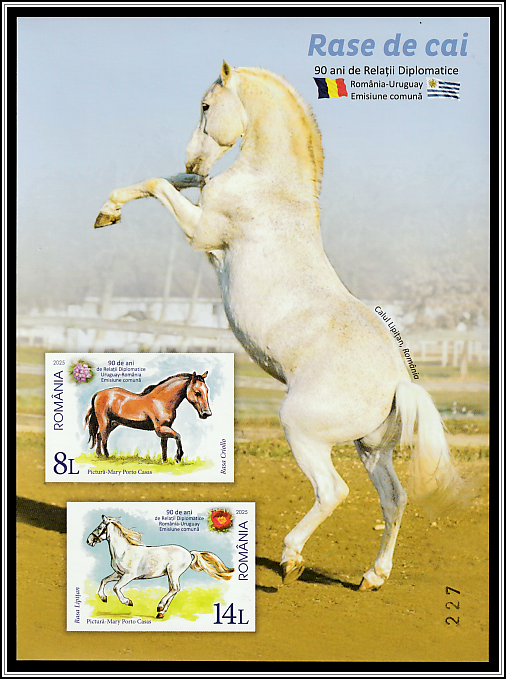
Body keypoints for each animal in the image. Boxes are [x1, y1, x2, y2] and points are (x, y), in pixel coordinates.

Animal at [86, 515, 234, 619]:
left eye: (99, 527)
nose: (88, 541)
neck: (124, 552)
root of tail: (189, 552)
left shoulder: (129, 575)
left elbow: (116, 588)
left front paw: (128, 602)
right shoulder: (118, 574)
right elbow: (104, 580)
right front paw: (103, 598)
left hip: (173, 572)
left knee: (175, 588)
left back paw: (160, 607)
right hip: (170, 574)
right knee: (174, 589)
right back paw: (161, 612)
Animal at [94, 62, 469, 591]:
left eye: (206, 106)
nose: (195, 156)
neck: (268, 186)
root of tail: (399, 382)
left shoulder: (201, 232)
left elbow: (163, 184)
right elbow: (168, 180)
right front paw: (107, 213)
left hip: (304, 431)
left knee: (333, 491)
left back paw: (292, 559)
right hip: (370, 449)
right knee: (394, 499)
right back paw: (372, 578)